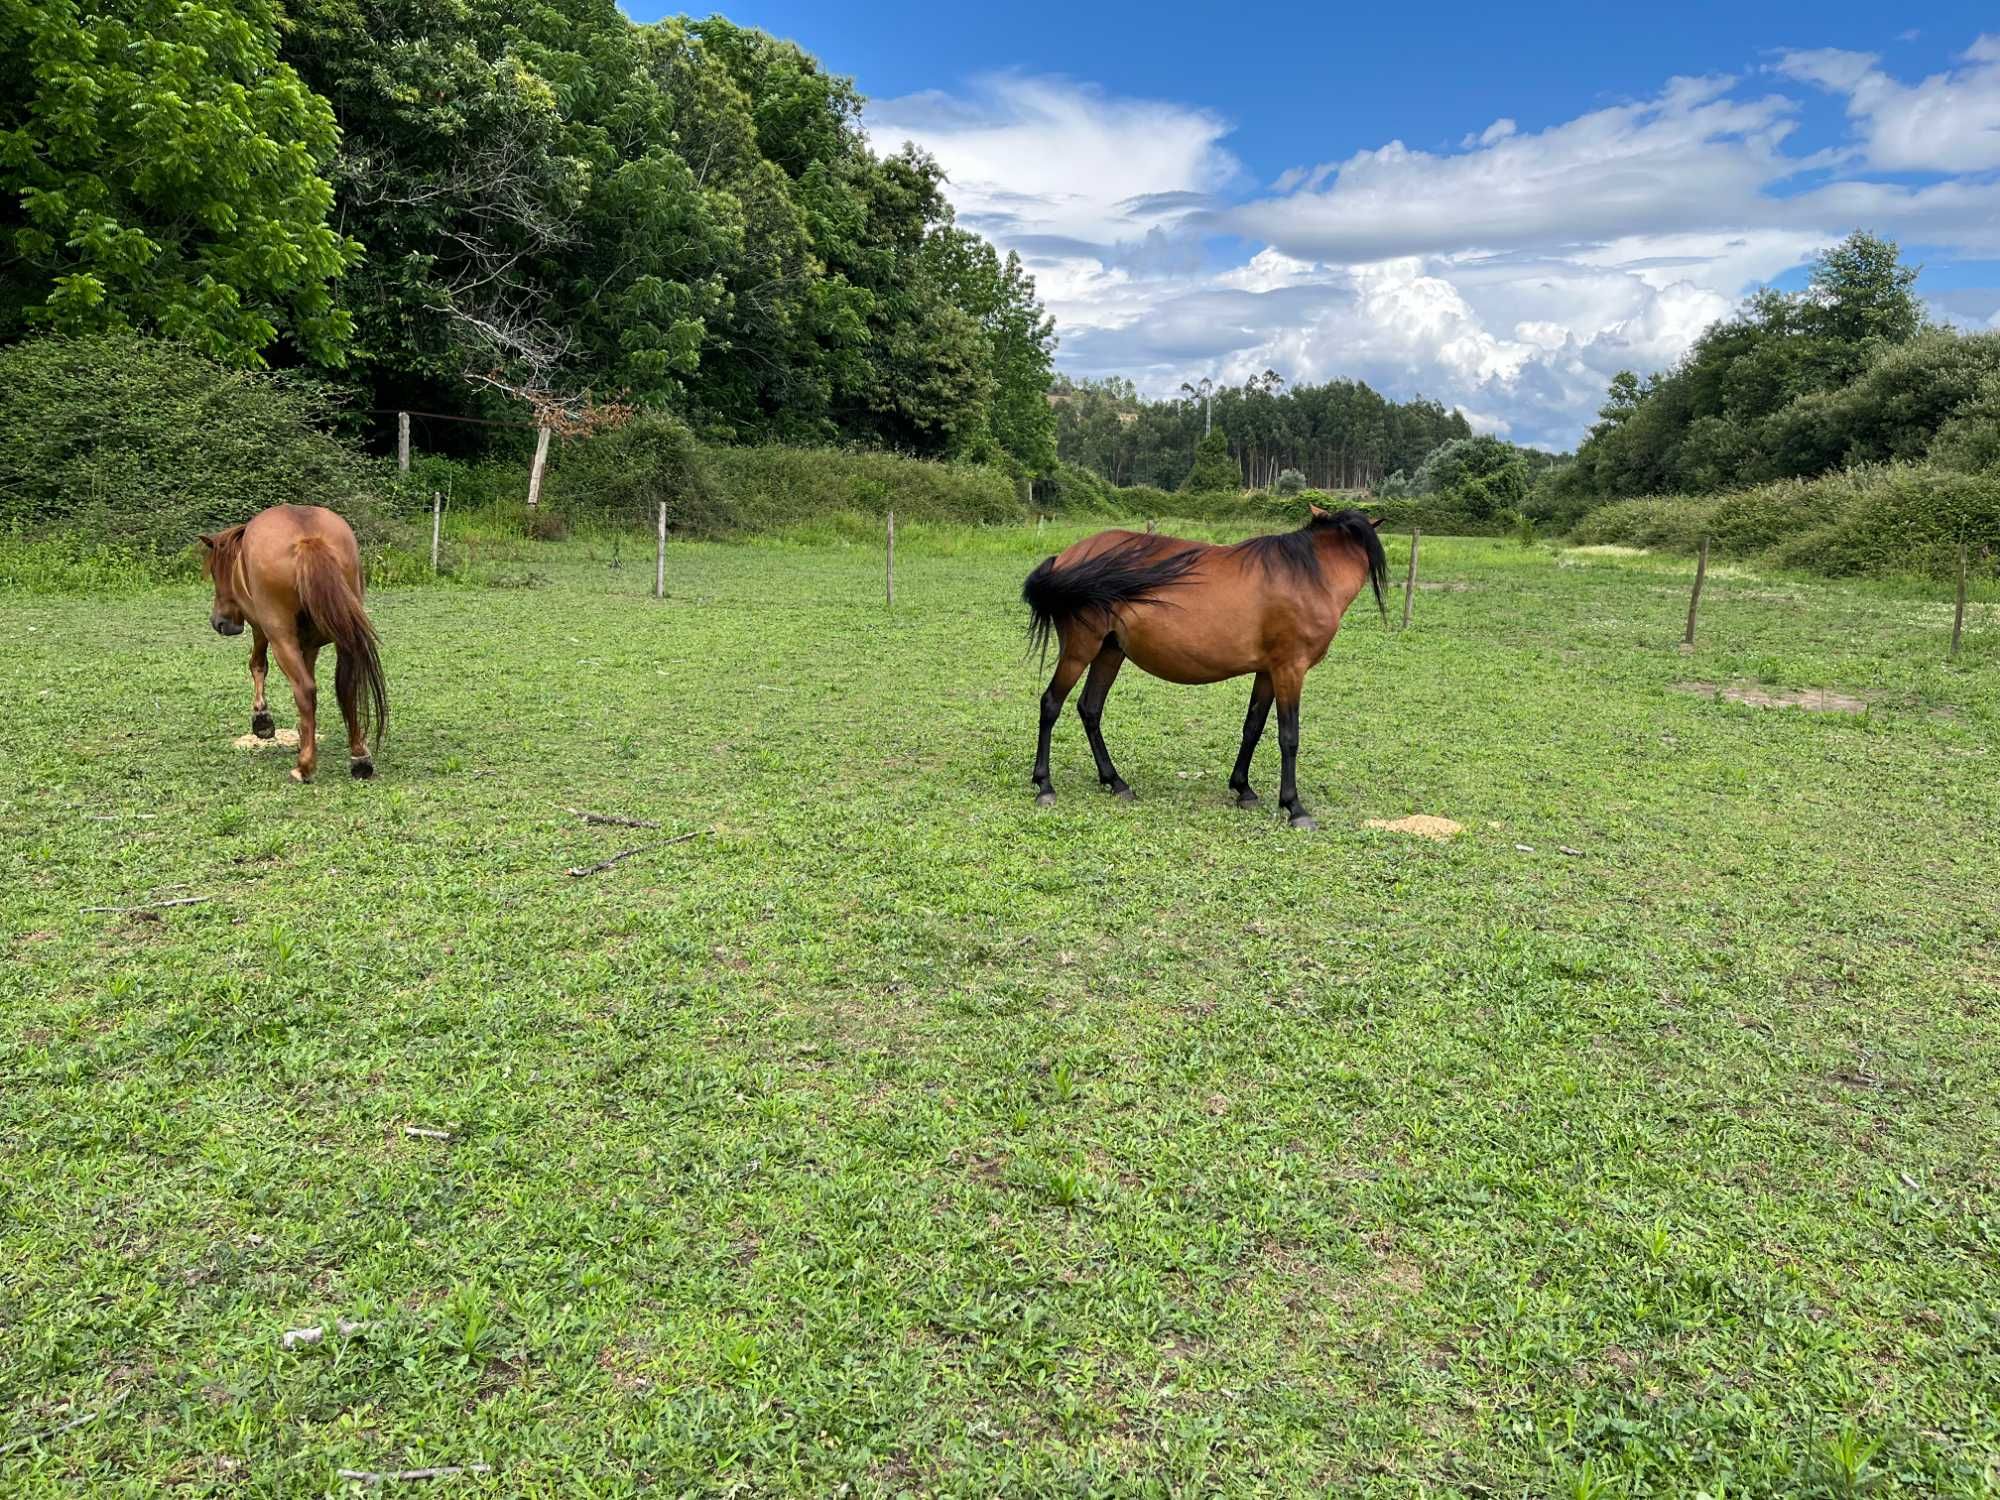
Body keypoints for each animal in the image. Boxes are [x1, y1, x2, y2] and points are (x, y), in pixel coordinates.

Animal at [202, 508, 386, 788]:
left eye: (215, 571)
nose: (220, 623)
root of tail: (308, 539)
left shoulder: (261, 627)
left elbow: (258, 665)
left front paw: (262, 718)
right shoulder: (309, 642)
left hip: (281, 637)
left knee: (304, 689)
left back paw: (304, 767)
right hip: (343, 635)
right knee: (346, 688)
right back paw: (359, 758)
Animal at [1024, 506, 1384, 836]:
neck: (1308, 577)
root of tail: (1066, 558)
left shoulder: (1268, 672)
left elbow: (1253, 727)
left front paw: (1243, 789)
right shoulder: (1290, 670)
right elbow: (1289, 737)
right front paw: (1294, 807)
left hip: (1110, 652)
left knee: (1090, 708)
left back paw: (1116, 782)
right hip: (1080, 649)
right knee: (1051, 704)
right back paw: (1045, 786)